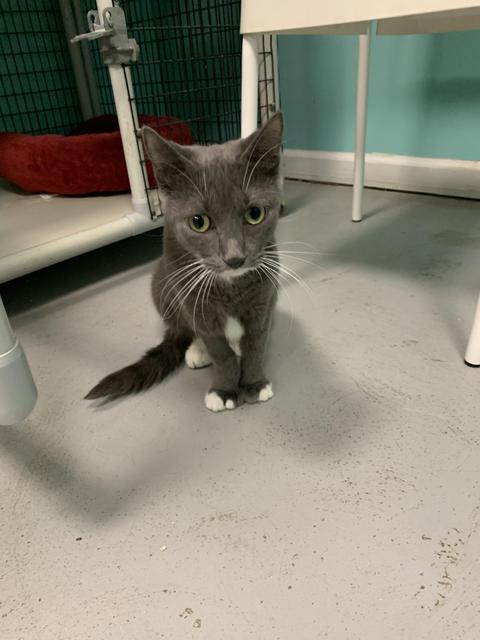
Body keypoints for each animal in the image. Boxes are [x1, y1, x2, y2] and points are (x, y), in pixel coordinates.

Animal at [85, 112, 283, 412]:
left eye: (255, 214)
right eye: (198, 222)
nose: (234, 258)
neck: (229, 285)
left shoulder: (263, 295)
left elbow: (255, 343)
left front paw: (254, 383)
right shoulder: (194, 301)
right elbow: (220, 352)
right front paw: (224, 390)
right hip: (162, 285)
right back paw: (197, 351)